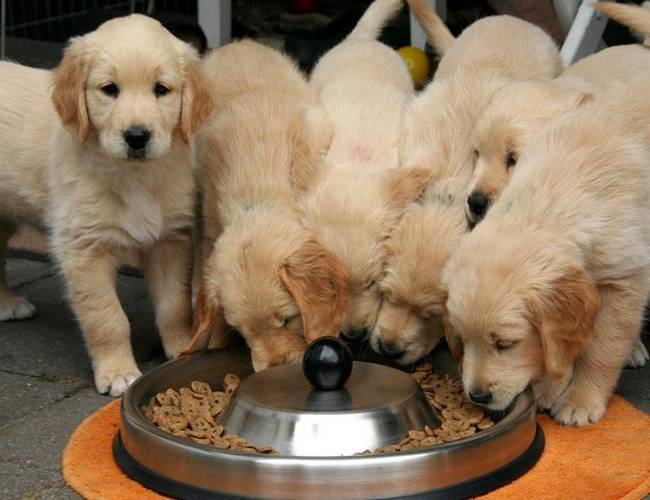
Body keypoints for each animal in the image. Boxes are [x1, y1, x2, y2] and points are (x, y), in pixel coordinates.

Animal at [0, 14, 213, 394]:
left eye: (162, 89)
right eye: (109, 89)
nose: (137, 136)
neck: (133, 176)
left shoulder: (170, 240)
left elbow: (173, 305)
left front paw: (181, 347)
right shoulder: (84, 248)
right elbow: (107, 317)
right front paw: (117, 372)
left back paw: (6, 302)